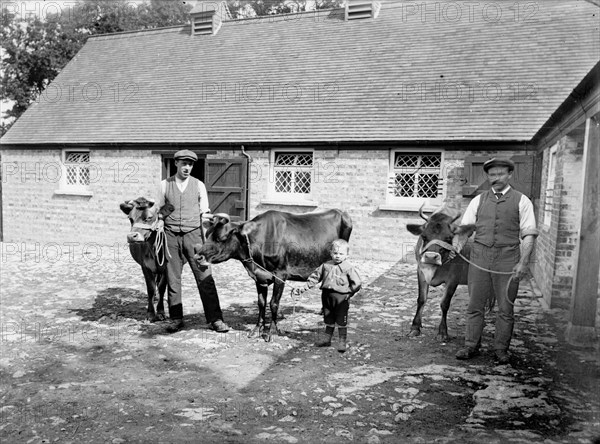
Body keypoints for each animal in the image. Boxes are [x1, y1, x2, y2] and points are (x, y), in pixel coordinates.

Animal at [193, 210, 352, 342]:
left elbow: (273, 303)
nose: (197, 257)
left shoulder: (281, 275)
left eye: (221, 238)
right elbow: (261, 303)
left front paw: (272, 331)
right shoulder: (259, 277)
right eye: (207, 235)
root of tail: (340, 212)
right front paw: (257, 329)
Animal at [406, 206, 476, 340]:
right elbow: (421, 299)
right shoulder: (421, 272)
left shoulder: (453, 279)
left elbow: (445, 304)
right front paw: (415, 327)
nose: (431, 257)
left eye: (448, 238)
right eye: (424, 237)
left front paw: (443, 332)